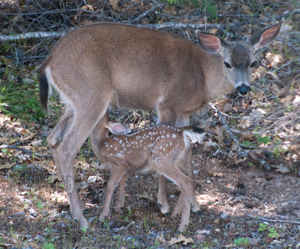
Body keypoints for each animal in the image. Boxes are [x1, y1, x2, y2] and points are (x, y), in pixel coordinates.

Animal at [38, 21, 282, 230]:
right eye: (227, 63)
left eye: (253, 63)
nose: (243, 88)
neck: (202, 78)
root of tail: (49, 62)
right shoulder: (167, 104)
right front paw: (164, 205)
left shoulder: (185, 112)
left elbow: (188, 155)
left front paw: (193, 206)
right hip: (91, 95)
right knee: (67, 147)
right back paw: (81, 219)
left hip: (72, 103)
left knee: (53, 138)